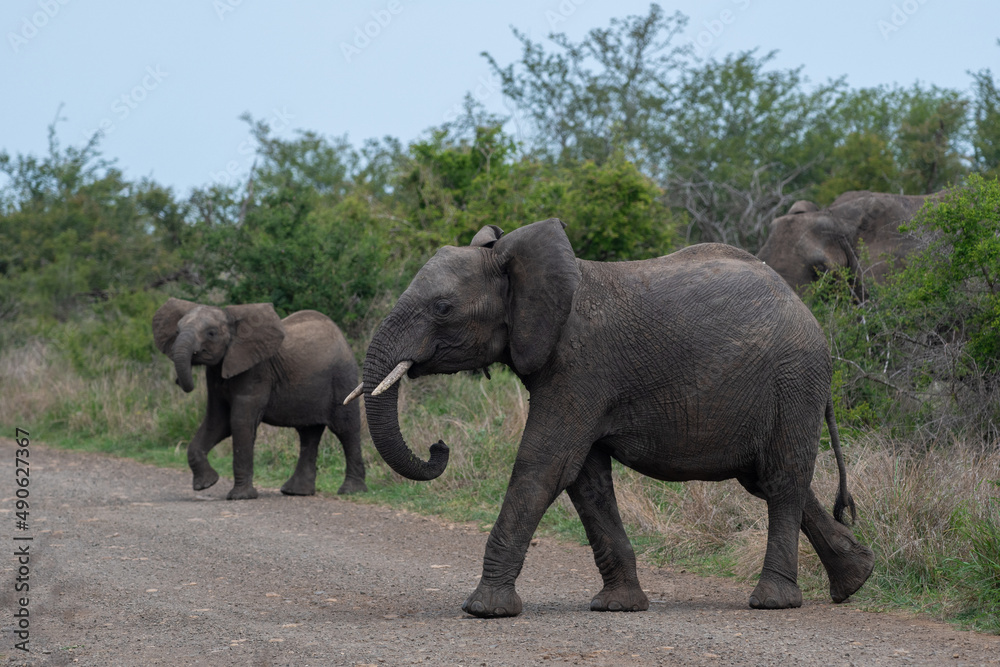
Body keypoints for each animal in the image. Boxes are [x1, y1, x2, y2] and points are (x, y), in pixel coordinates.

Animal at [150, 298, 366, 500]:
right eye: (177, 331)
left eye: (211, 333)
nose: (178, 381)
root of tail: (340, 334)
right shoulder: (216, 372)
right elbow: (217, 422)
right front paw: (206, 484)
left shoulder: (256, 371)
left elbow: (240, 422)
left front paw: (240, 497)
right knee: (308, 433)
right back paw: (296, 492)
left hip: (343, 377)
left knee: (346, 429)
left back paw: (350, 491)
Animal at [354, 220, 876, 620]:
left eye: (443, 308)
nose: (439, 446)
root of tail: (809, 317)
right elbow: (585, 479)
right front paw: (618, 607)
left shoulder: (579, 367)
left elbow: (544, 466)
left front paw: (484, 610)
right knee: (767, 478)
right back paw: (855, 580)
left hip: (794, 380)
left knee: (783, 479)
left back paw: (773, 602)